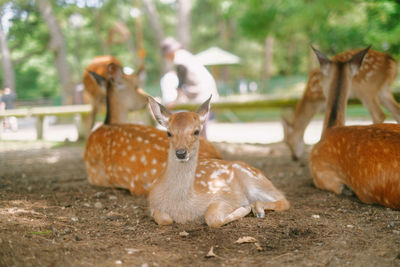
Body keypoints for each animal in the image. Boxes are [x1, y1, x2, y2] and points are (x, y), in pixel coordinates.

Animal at [148, 95, 290, 227]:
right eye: (168, 132)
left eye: (196, 131)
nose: (181, 153)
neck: (182, 208)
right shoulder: (152, 205)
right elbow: (163, 218)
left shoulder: (225, 196)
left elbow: (212, 217)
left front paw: (245, 208)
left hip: (254, 179)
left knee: (284, 200)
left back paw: (257, 209)